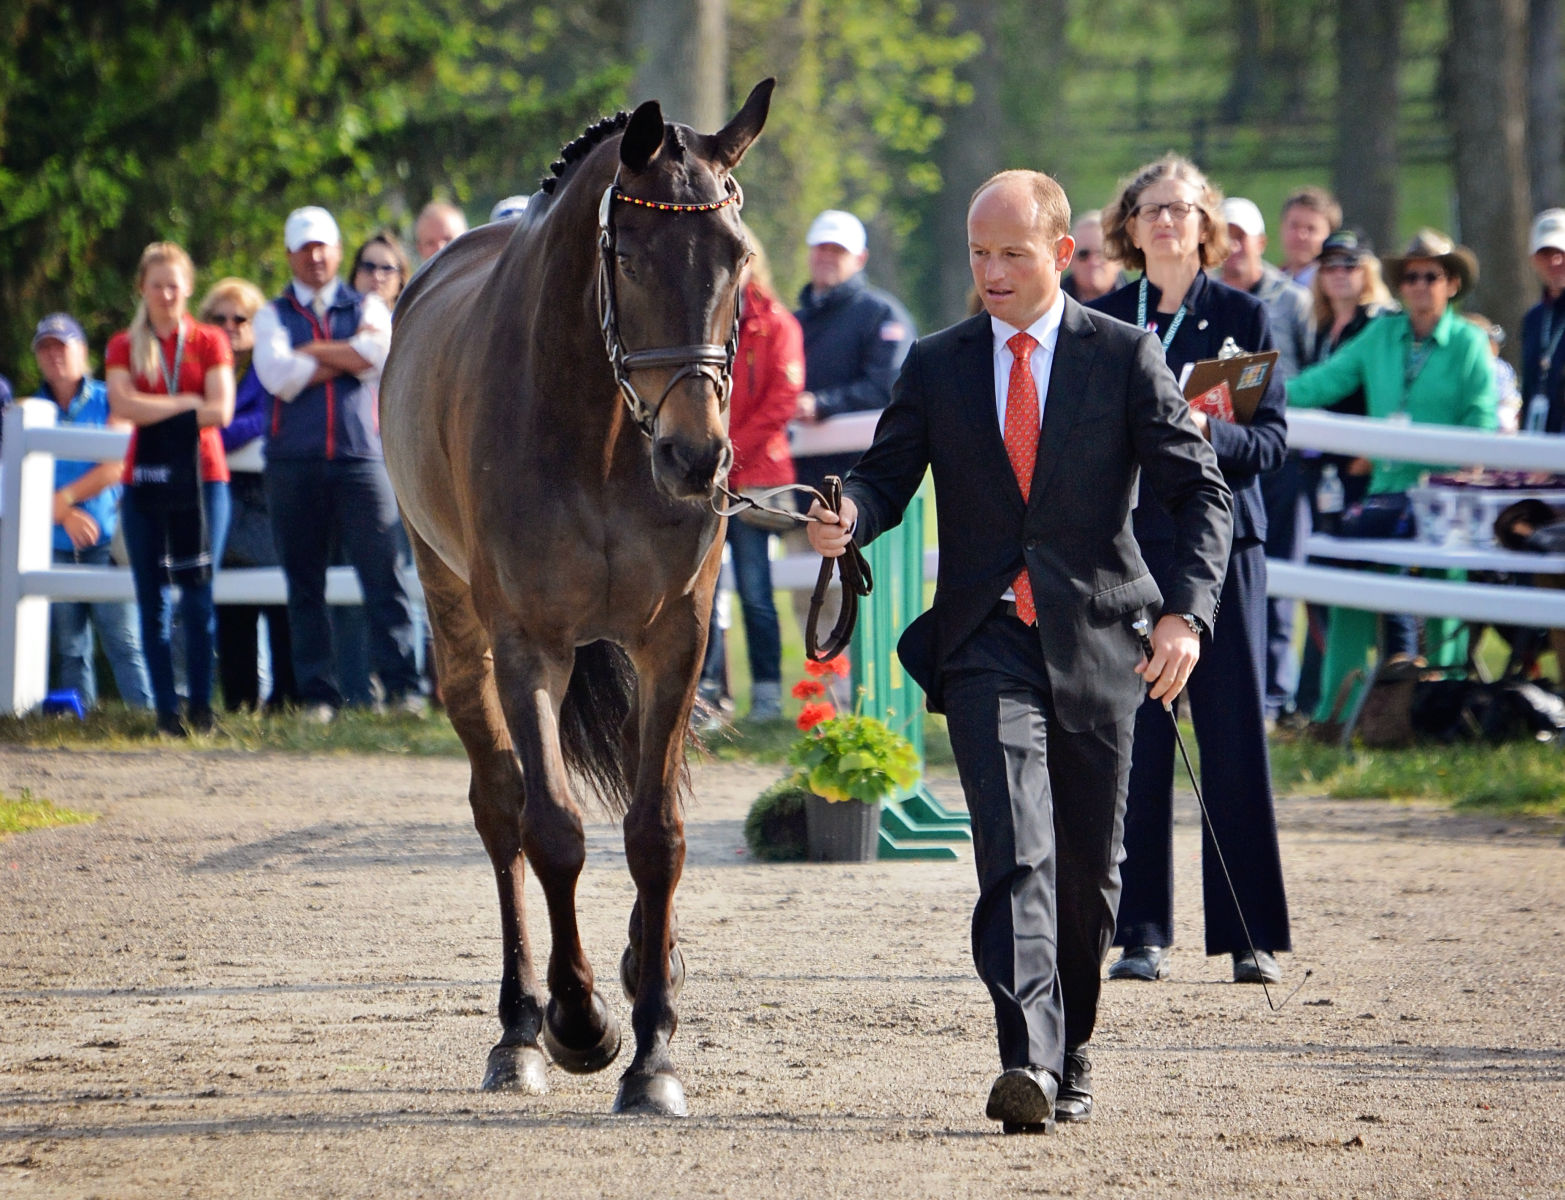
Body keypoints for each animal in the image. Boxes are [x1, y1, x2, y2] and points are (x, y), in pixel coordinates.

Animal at [378, 82, 769, 1113]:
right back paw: (520, 1028)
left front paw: (655, 1045)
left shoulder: (674, 638)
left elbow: (657, 829)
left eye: (737, 259)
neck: (598, 433)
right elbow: (551, 828)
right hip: (455, 624)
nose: (697, 458)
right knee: (499, 806)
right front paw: (582, 1023)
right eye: (628, 257)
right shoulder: (528, 644)